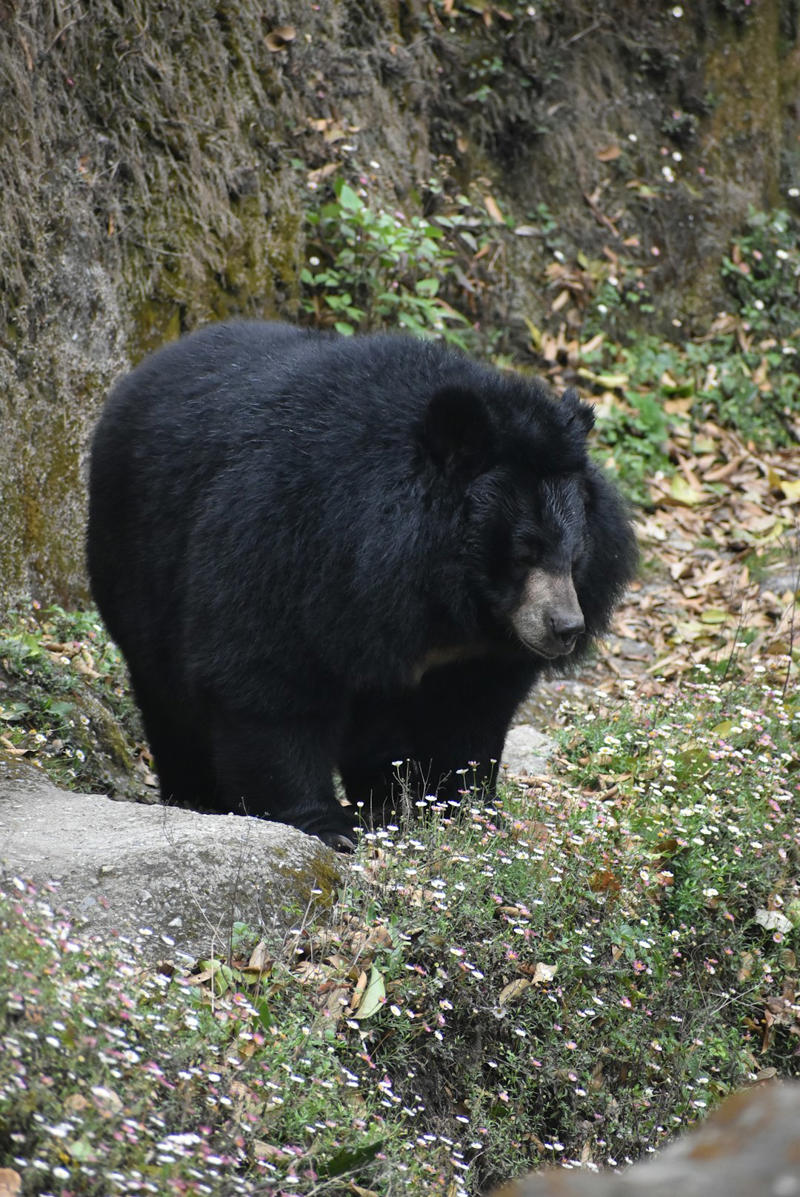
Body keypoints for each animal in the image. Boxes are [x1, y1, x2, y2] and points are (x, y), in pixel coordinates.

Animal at [87, 321, 637, 851]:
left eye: (575, 555)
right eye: (524, 552)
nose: (565, 628)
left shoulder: (470, 649)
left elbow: (471, 716)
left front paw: (468, 814)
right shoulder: (286, 545)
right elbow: (266, 677)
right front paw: (325, 827)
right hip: (138, 553)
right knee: (168, 694)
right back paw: (197, 797)